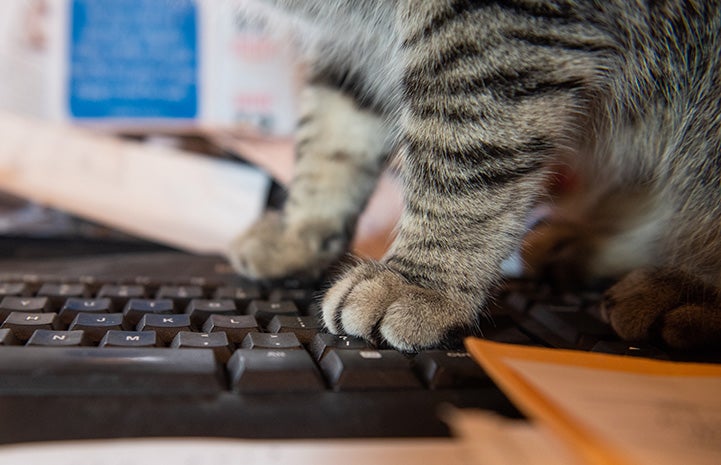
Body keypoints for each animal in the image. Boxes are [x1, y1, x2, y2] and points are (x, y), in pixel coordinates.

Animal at [229, 0, 720, 350]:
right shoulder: (354, 55)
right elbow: (331, 141)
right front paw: (297, 235)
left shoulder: (498, 26)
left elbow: (462, 152)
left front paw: (421, 281)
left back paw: (685, 291)